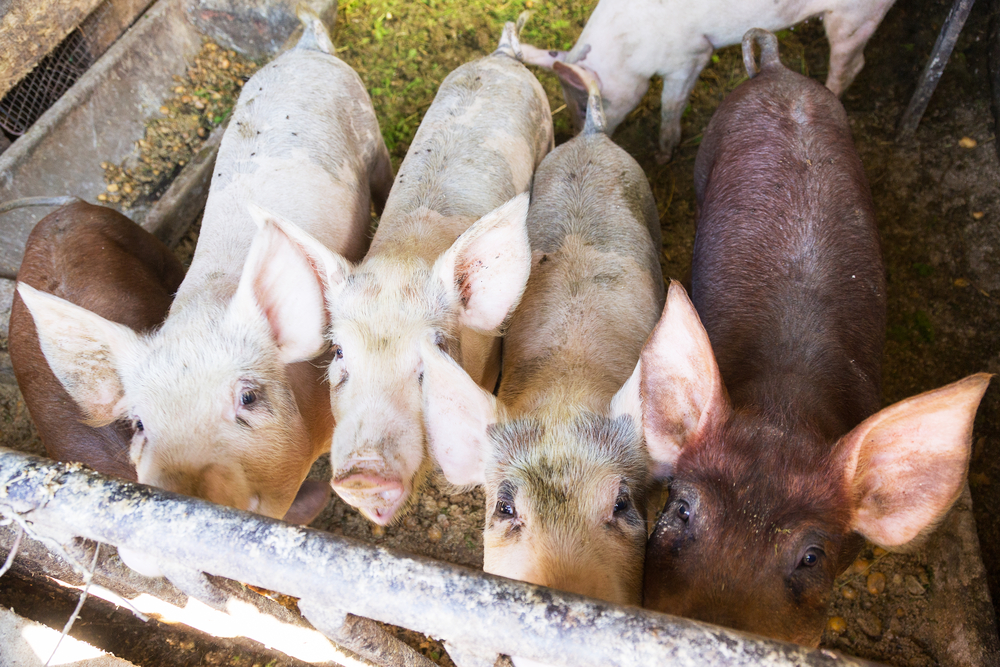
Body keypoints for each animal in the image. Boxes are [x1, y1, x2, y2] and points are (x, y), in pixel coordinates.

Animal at [519, 0, 897, 161]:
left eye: (586, 105)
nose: (574, 137)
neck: (630, 45)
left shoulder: (690, 57)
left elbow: (671, 104)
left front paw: (664, 154)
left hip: (855, 17)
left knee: (853, 63)